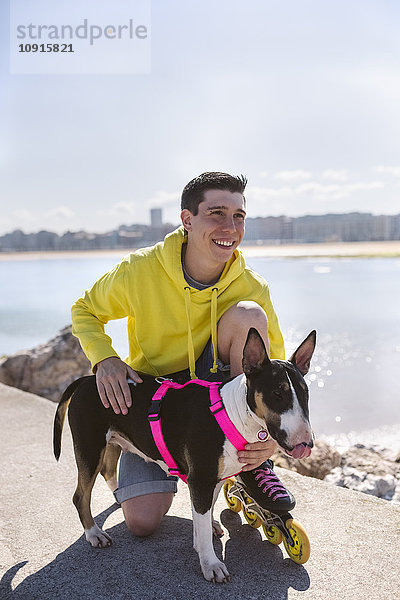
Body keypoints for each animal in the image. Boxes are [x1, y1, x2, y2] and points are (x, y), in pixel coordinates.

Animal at [53, 328, 316, 580]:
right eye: (277, 393)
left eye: (306, 392)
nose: (307, 442)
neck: (233, 414)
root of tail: (88, 379)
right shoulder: (200, 480)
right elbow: (202, 520)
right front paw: (211, 565)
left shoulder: (213, 479)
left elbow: (205, 514)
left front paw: (204, 535)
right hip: (90, 446)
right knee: (80, 495)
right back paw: (94, 534)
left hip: (114, 441)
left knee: (108, 471)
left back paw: (118, 496)